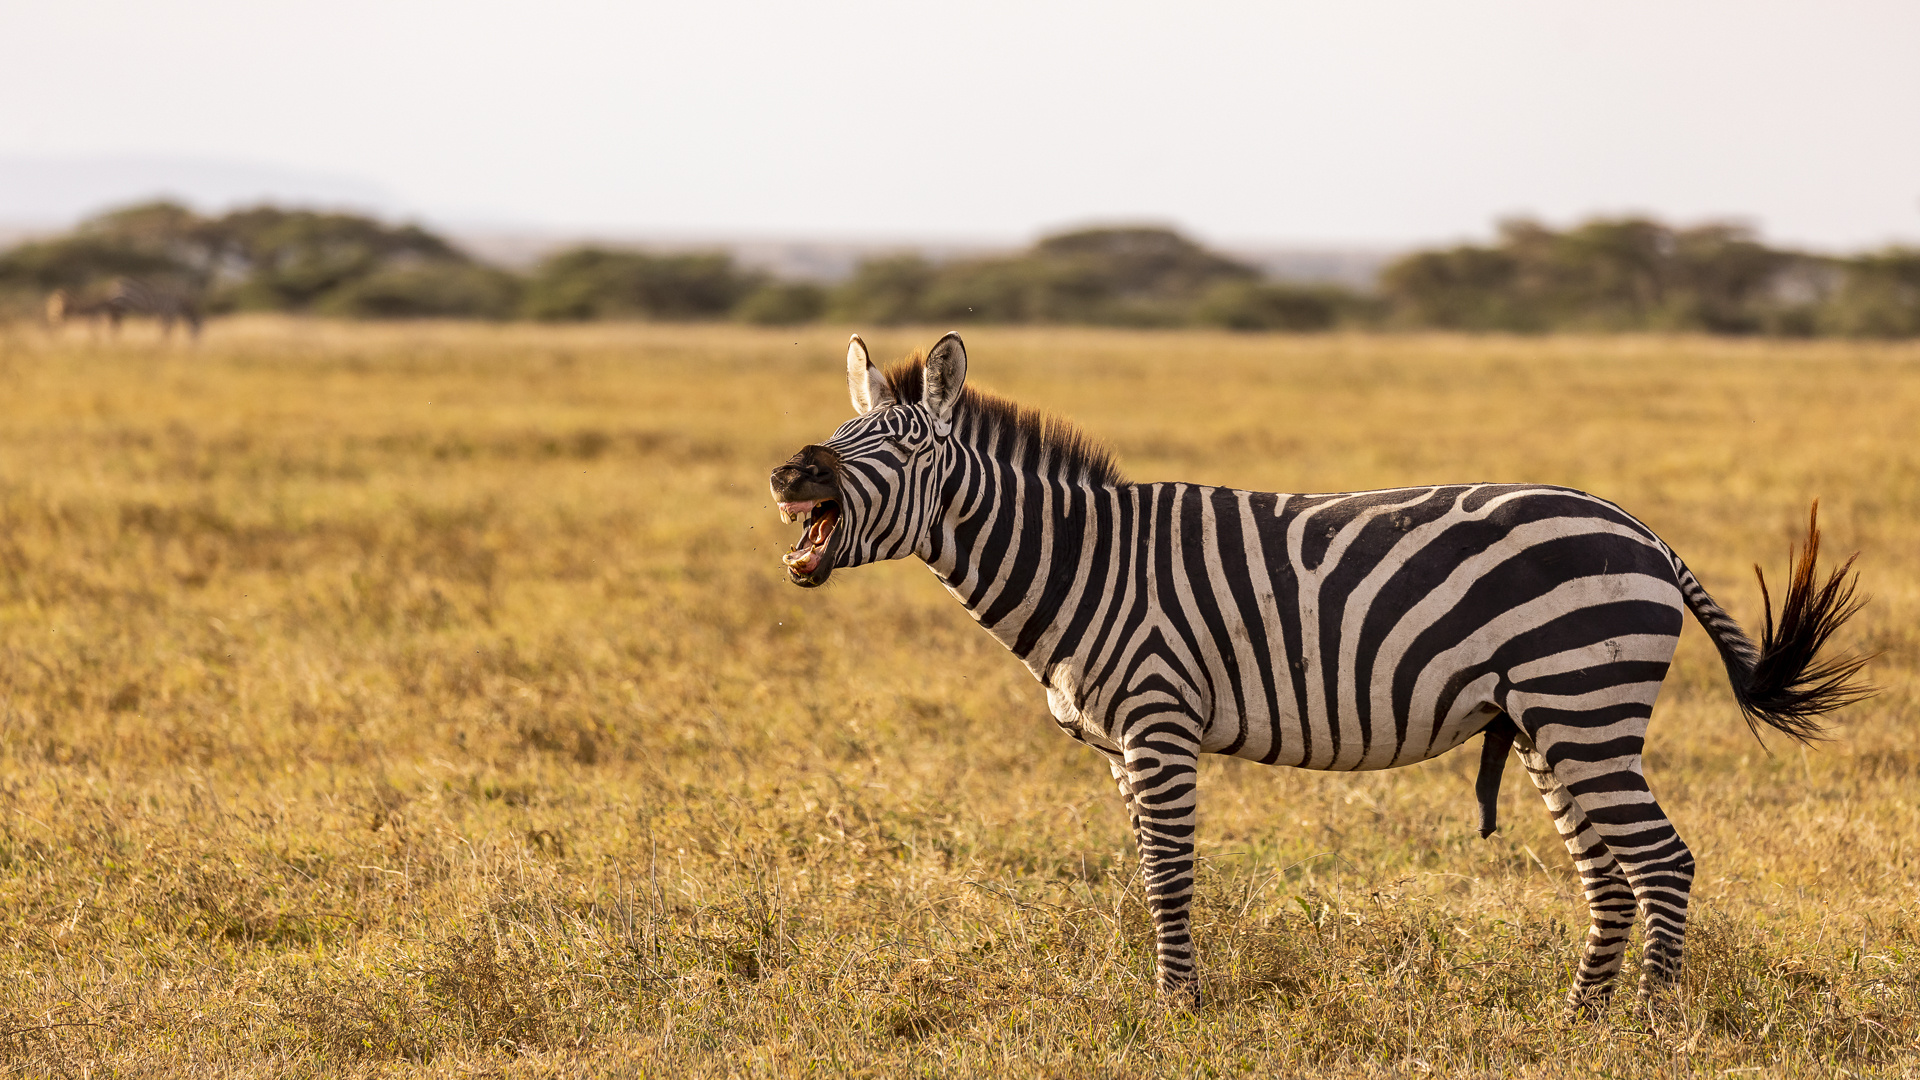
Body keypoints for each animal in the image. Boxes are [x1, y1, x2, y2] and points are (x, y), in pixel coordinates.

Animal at [768, 328, 1873, 1006]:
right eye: (844, 433)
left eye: (908, 446)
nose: (790, 472)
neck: (1085, 561)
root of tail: (1641, 530)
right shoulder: (1123, 747)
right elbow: (1147, 871)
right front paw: (1171, 994)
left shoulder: (1160, 722)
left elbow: (1169, 873)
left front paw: (1180, 1008)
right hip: (1550, 722)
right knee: (1608, 870)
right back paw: (1583, 1019)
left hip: (1583, 703)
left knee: (1661, 861)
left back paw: (1650, 1024)